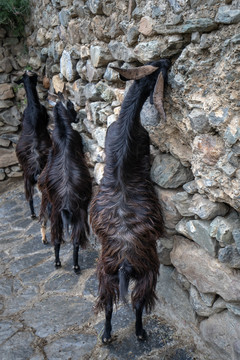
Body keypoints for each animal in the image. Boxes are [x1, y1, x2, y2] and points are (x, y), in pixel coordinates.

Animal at [38, 93, 92, 272]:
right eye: (71, 106)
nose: (76, 117)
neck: (62, 129)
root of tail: (67, 206)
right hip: (79, 214)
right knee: (75, 241)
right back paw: (75, 266)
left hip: (56, 216)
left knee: (56, 239)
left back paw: (57, 262)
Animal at [90, 59, 171, 344]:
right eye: (157, 69)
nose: (167, 61)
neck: (127, 122)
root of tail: (125, 263)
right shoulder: (145, 143)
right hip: (148, 271)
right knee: (138, 304)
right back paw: (140, 333)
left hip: (105, 272)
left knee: (108, 304)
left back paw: (106, 335)